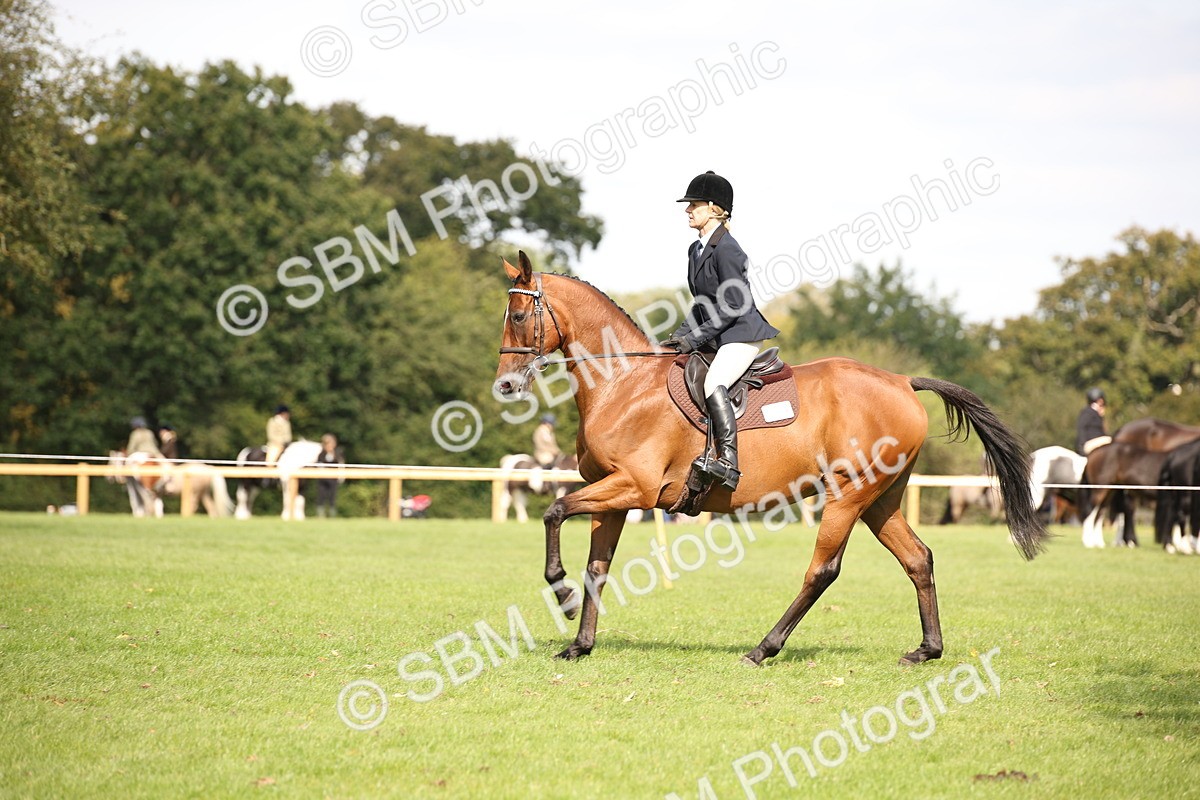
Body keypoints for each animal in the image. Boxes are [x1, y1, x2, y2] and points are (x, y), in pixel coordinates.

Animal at [493, 252, 1047, 666]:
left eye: (518, 317)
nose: (505, 387)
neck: (621, 384)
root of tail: (901, 381)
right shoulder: (613, 495)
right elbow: (597, 566)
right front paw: (579, 644)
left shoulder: (634, 487)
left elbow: (554, 512)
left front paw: (560, 594)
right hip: (880, 499)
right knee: (918, 558)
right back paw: (927, 650)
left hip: (848, 495)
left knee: (823, 570)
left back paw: (764, 648)